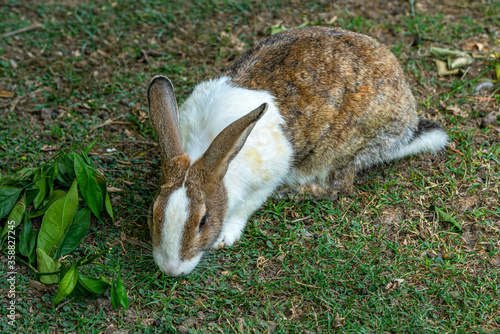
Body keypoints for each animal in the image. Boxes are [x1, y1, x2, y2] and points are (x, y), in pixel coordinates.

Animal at [146, 26, 448, 276]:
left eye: (203, 221)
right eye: (154, 211)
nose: (171, 269)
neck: (212, 154)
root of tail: (408, 125)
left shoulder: (265, 180)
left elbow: (245, 209)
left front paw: (225, 237)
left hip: (343, 152)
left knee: (340, 187)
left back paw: (296, 192)